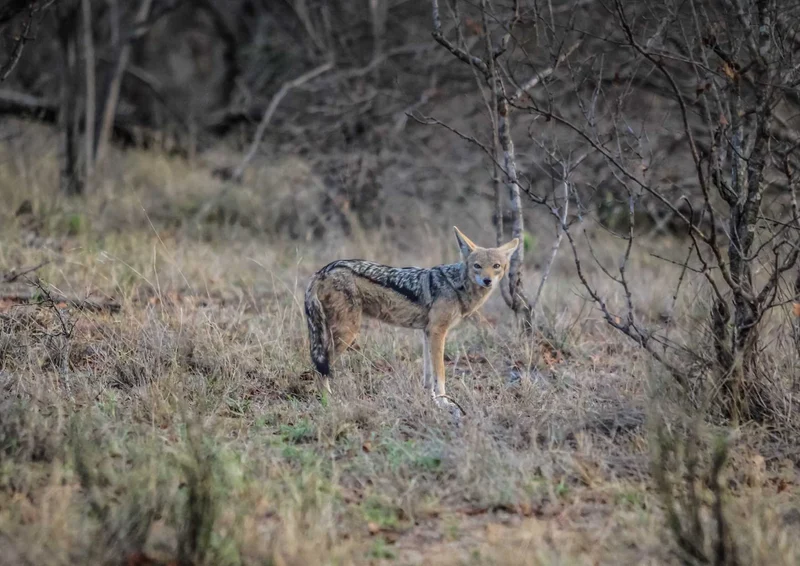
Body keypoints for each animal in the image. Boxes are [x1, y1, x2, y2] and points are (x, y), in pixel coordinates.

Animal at [304, 226, 519, 408]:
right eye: (477, 266)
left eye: (496, 266)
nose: (487, 280)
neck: (456, 285)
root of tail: (322, 271)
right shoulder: (438, 332)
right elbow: (440, 372)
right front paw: (444, 402)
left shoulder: (427, 332)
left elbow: (428, 375)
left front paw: (432, 401)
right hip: (347, 333)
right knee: (320, 369)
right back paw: (330, 402)